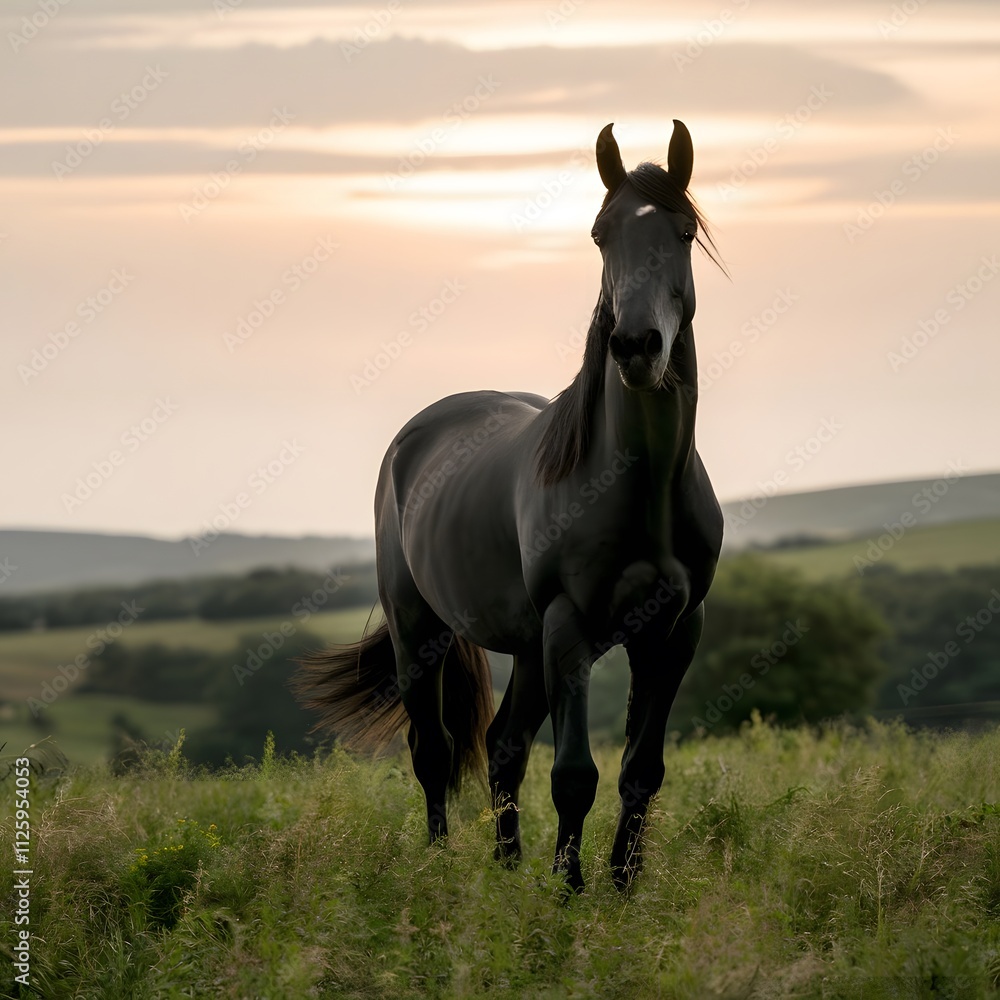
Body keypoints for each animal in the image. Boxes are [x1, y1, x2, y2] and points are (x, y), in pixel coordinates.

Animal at [295, 119, 724, 894]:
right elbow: (576, 774)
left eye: (682, 231)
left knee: (504, 746)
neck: (642, 489)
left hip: (526, 646)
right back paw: (443, 866)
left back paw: (506, 867)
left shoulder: (674, 632)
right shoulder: (570, 627)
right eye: (600, 234)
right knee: (433, 749)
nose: (636, 346)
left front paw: (621, 887)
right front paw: (570, 892)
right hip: (422, 628)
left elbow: (641, 773)